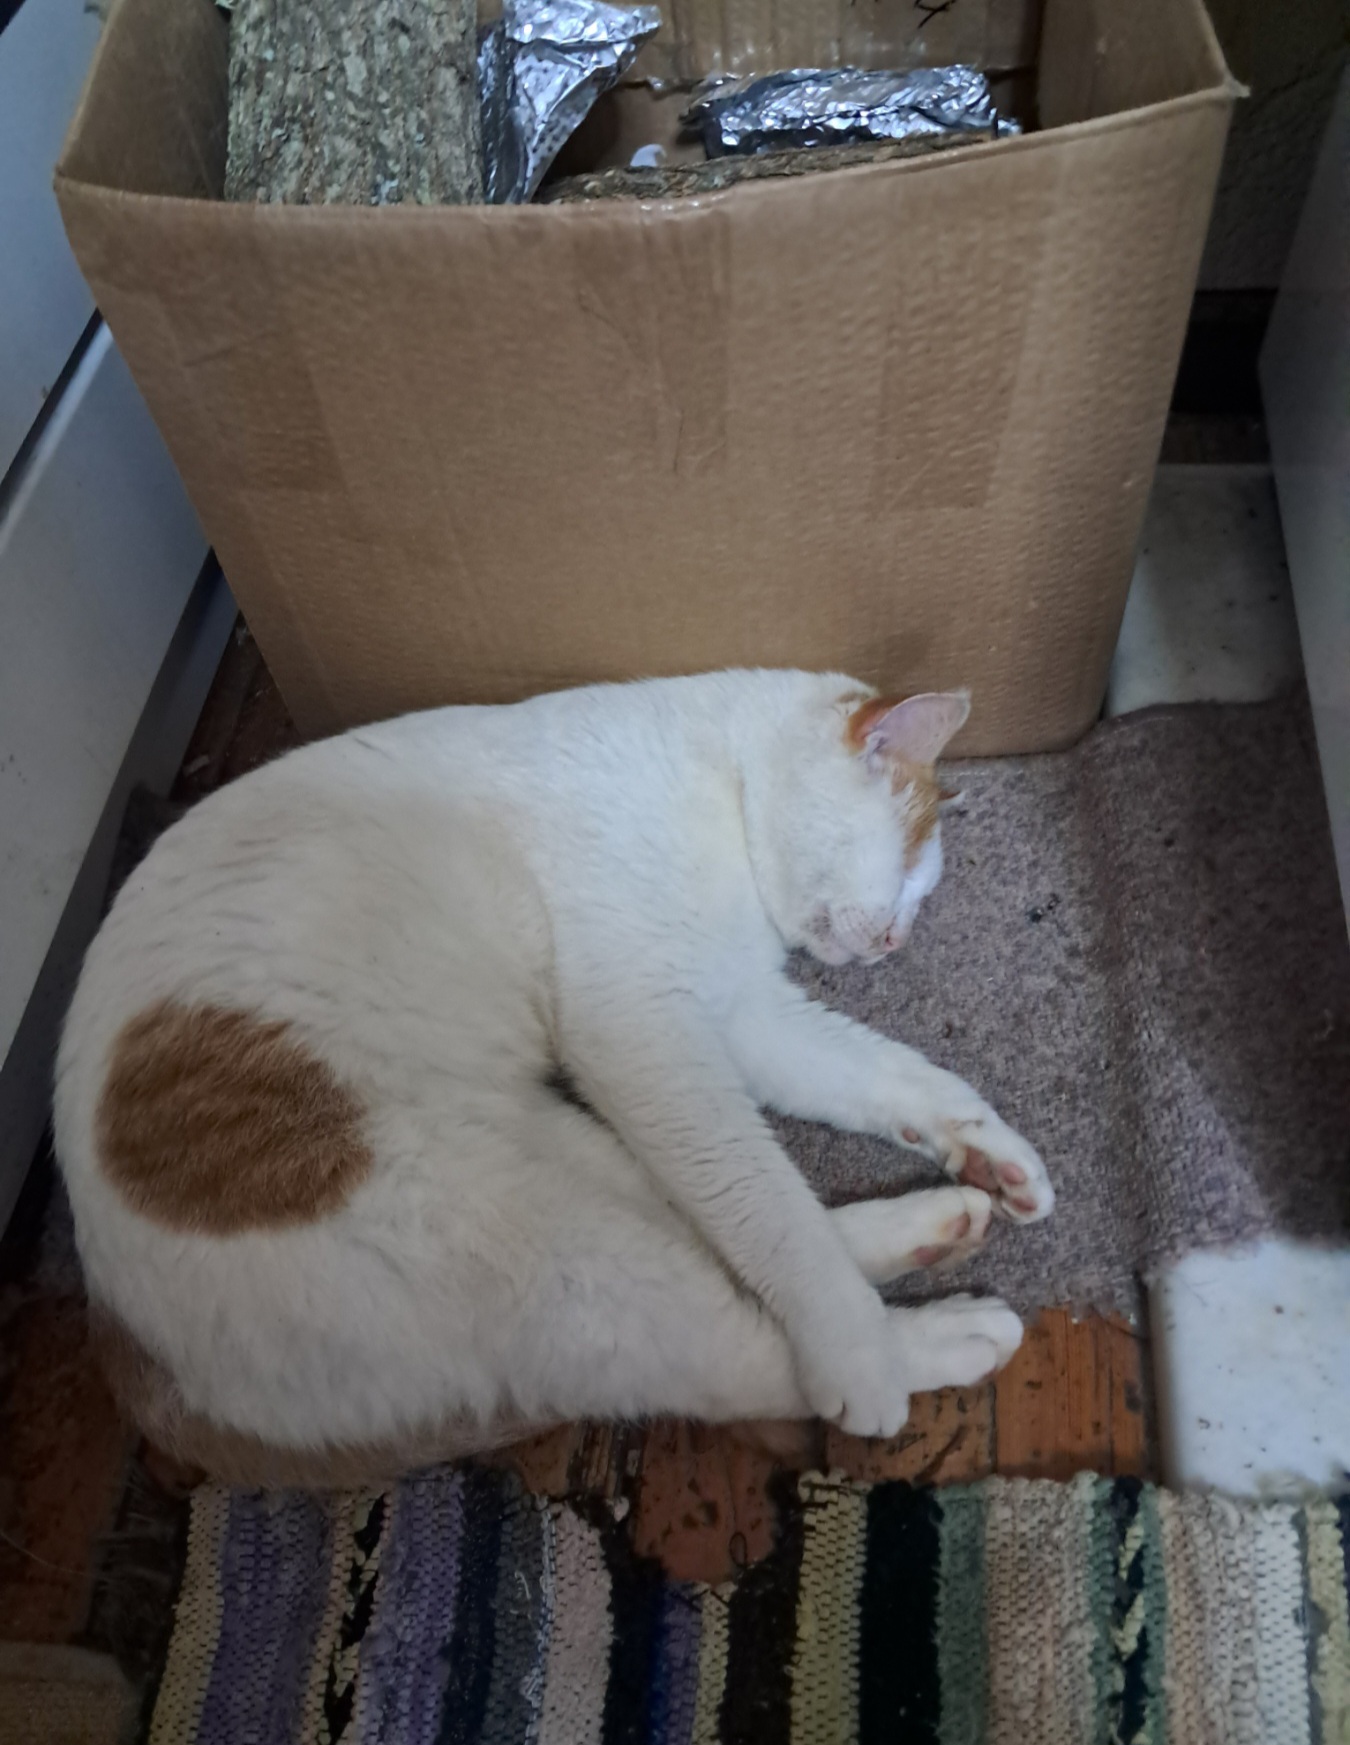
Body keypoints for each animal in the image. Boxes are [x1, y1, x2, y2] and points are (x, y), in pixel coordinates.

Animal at [55, 670, 1053, 1485]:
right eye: (906, 868)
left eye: (920, 896)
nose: (893, 941)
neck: (719, 780)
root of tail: (119, 1342)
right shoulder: (645, 1029)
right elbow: (767, 1211)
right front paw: (854, 1347)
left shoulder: (739, 1012)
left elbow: (878, 1081)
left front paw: (990, 1148)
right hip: (535, 1250)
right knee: (735, 1344)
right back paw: (933, 1336)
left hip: (564, 1153)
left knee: (708, 1238)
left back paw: (938, 1224)